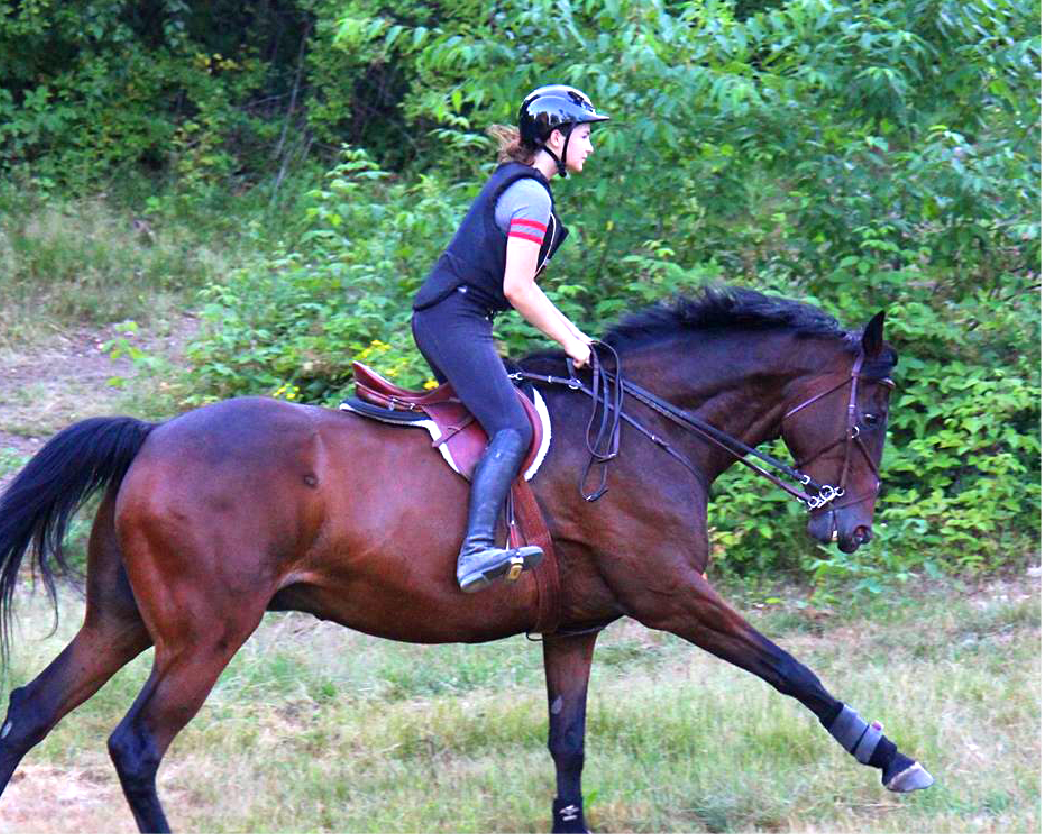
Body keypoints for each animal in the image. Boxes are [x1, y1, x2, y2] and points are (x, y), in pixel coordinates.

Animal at [0, 288, 933, 834]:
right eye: (876, 411)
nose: (851, 530)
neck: (645, 428)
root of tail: (153, 437)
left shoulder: (574, 626)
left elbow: (567, 742)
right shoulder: (672, 593)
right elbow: (790, 670)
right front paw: (889, 755)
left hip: (122, 621)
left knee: (29, 712)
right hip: (206, 635)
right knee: (136, 746)